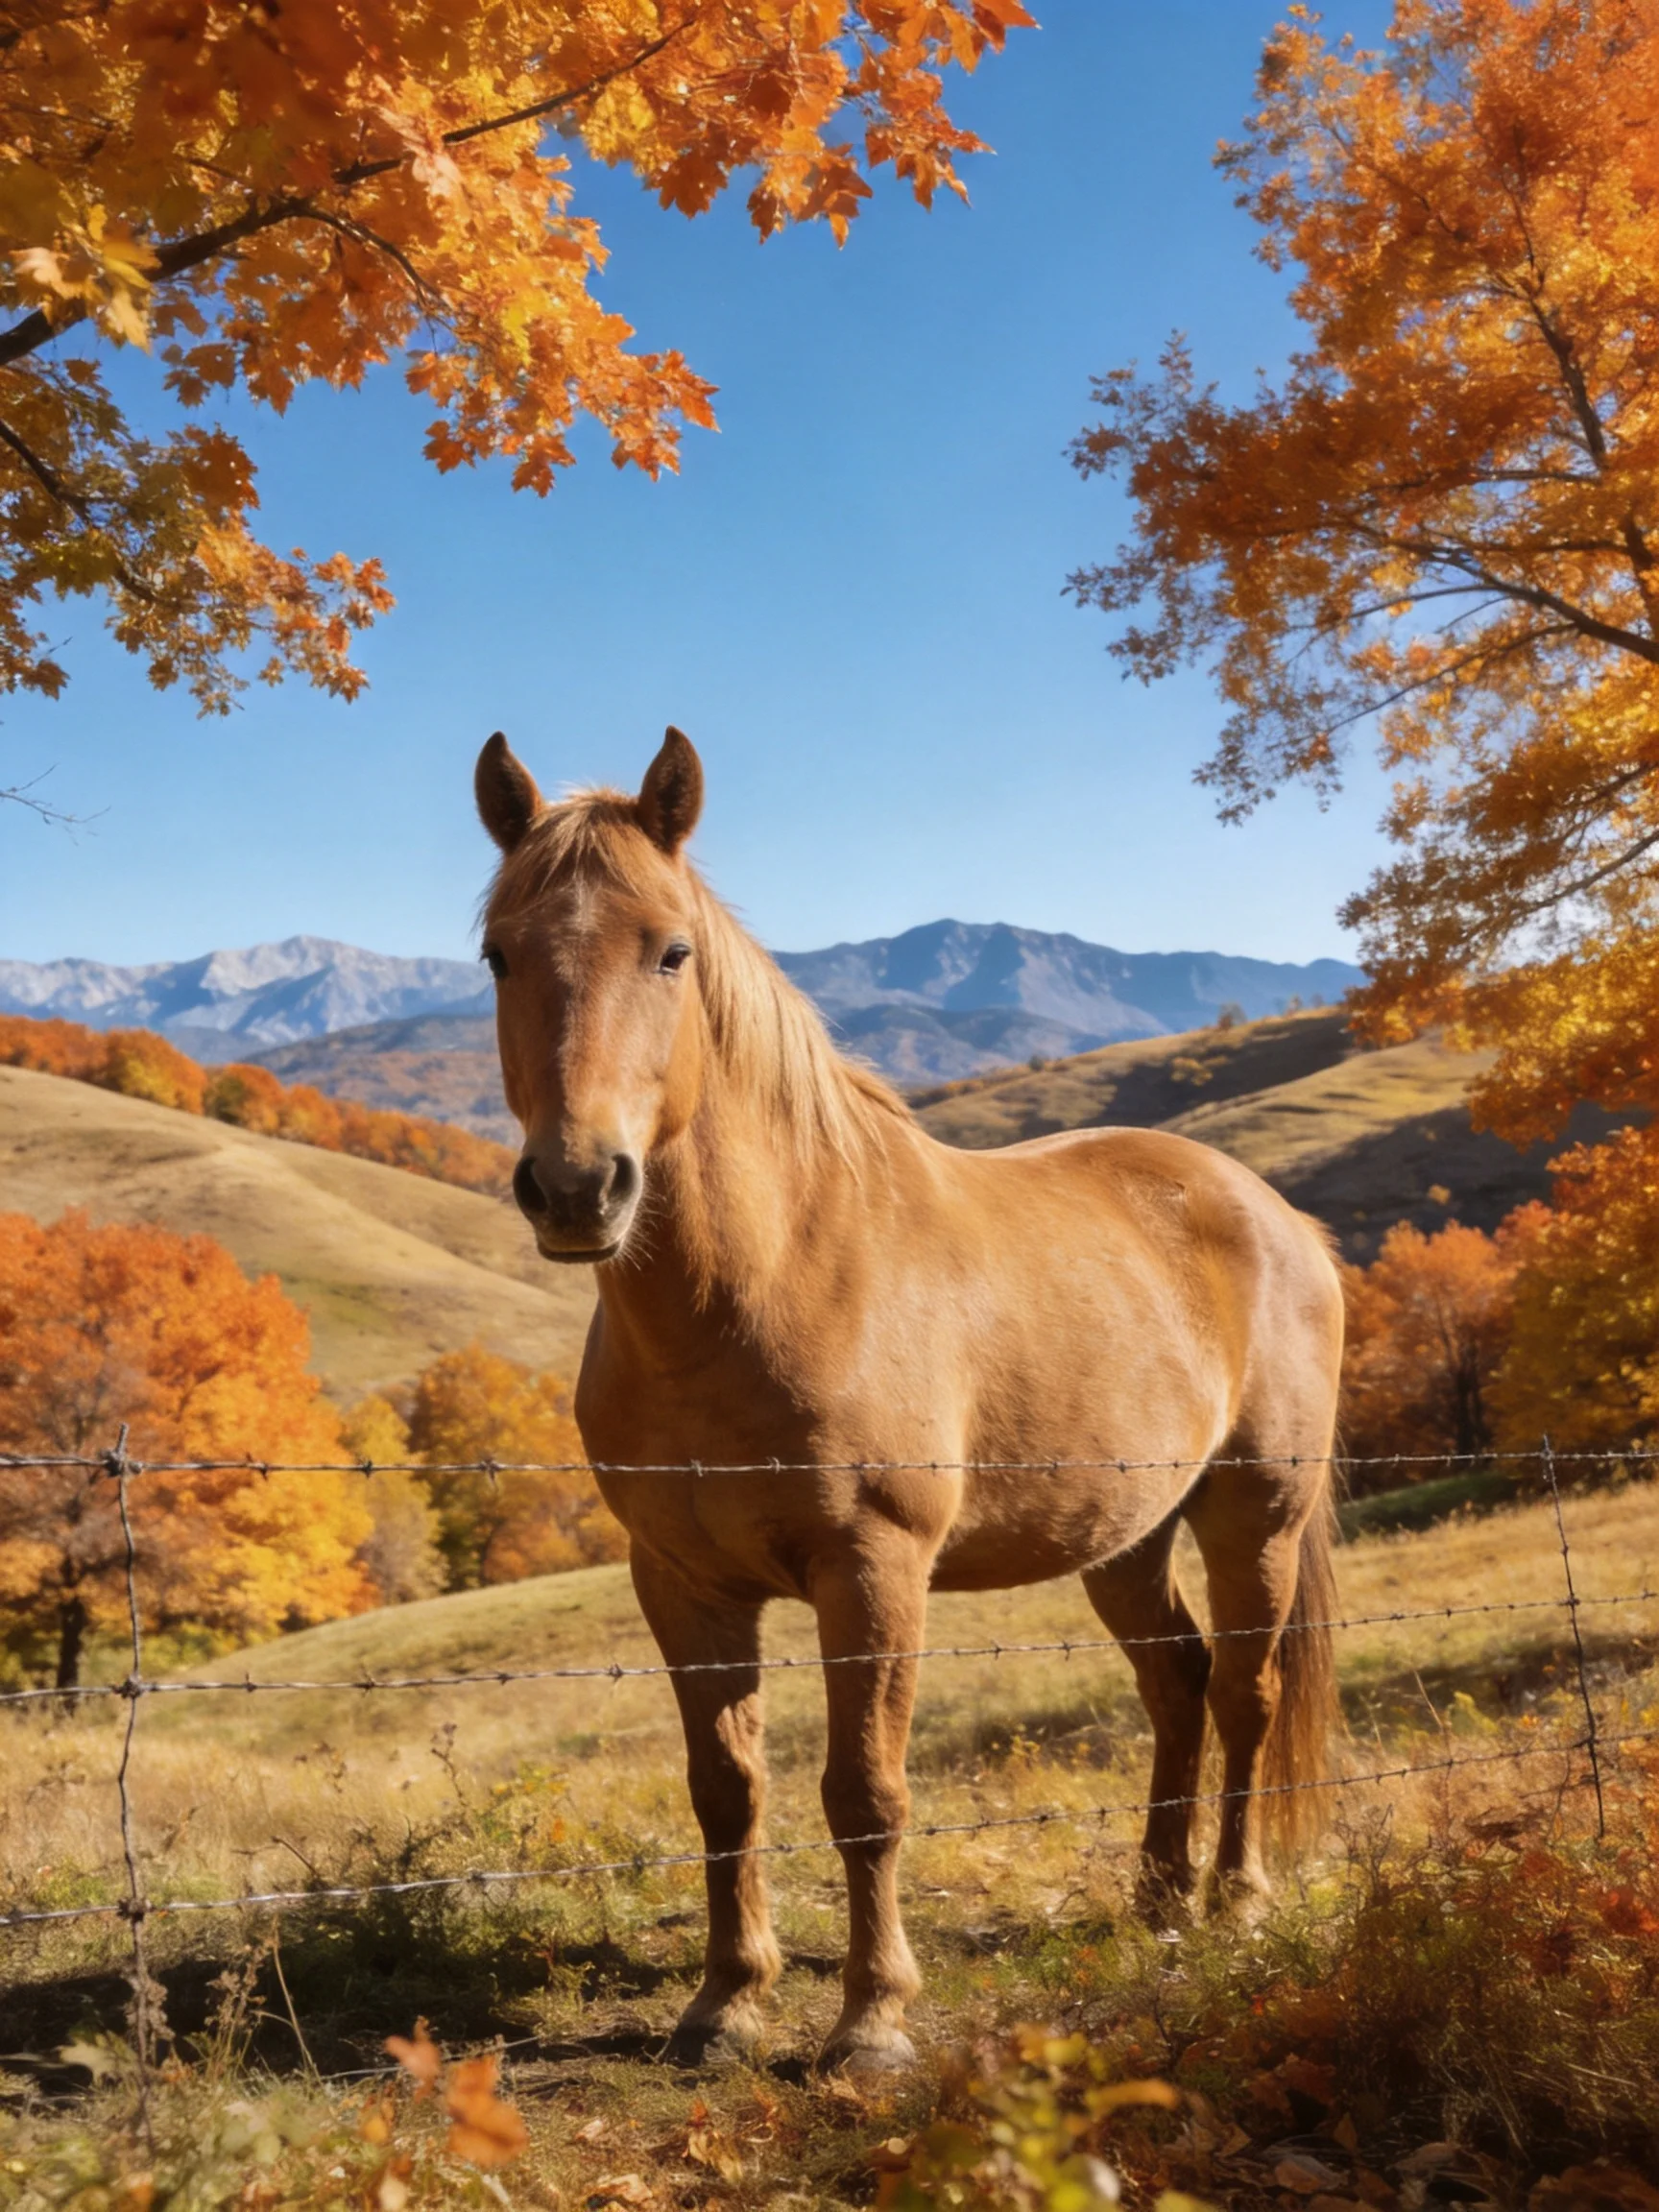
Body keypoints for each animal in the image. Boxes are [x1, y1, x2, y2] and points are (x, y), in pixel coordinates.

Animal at [474, 725, 1343, 2075]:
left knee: (1246, 1692)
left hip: (1257, 1514)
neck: (763, 1285)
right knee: (1178, 1685)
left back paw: (1236, 1901)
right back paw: (1157, 1900)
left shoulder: (872, 1570)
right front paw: (725, 2003)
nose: (576, 1189)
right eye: (499, 954)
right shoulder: (681, 1584)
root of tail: (1277, 1215)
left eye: (670, 950)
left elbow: (865, 1794)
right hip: (1126, 1538)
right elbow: (726, 1791)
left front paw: (872, 2022)